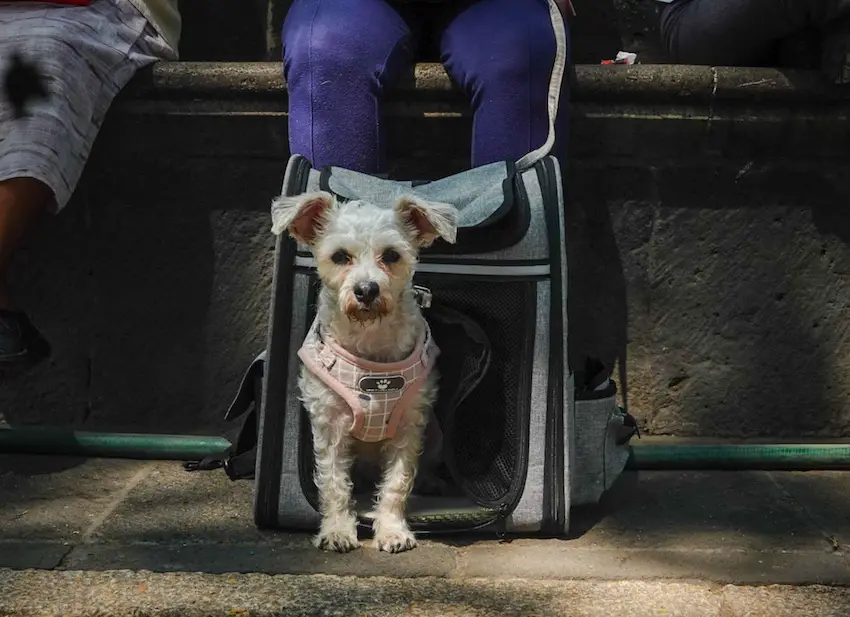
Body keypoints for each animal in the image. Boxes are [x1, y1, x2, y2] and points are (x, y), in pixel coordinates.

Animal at [272, 189, 458, 552]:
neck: (369, 345)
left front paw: (393, 530)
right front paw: (338, 531)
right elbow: (333, 482)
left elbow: (398, 482)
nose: (367, 289)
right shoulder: (330, 425)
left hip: (436, 434)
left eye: (392, 255)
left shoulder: (408, 426)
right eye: (340, 256)